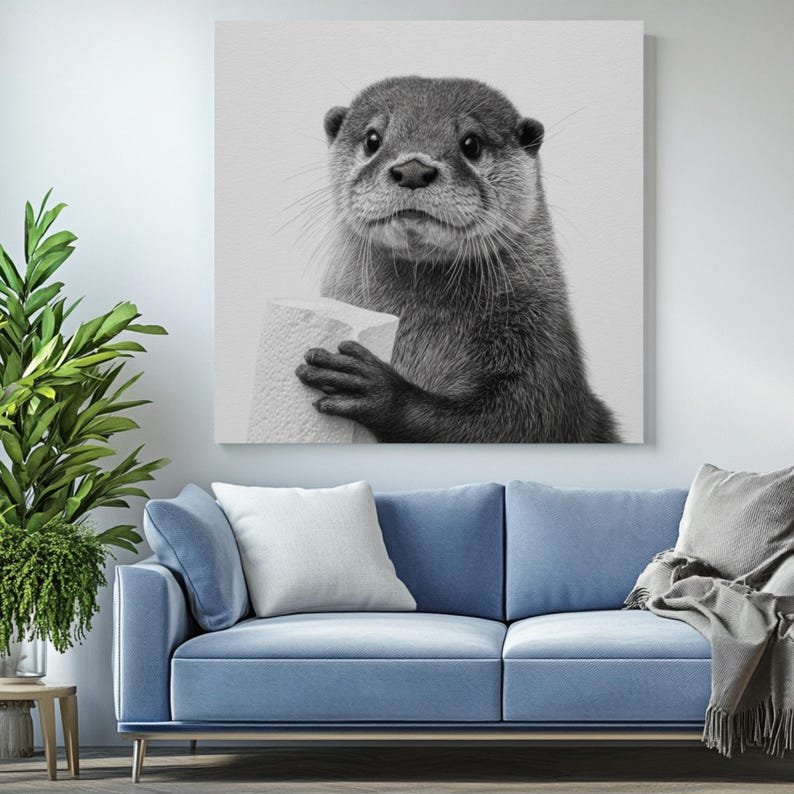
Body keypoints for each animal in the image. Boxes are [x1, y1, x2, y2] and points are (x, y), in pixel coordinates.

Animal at [295, 76, 620, 443]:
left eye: (471, 144)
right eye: (372, 139)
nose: (413, 169)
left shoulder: (544, 358)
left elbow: (510, 425)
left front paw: (377, 390)